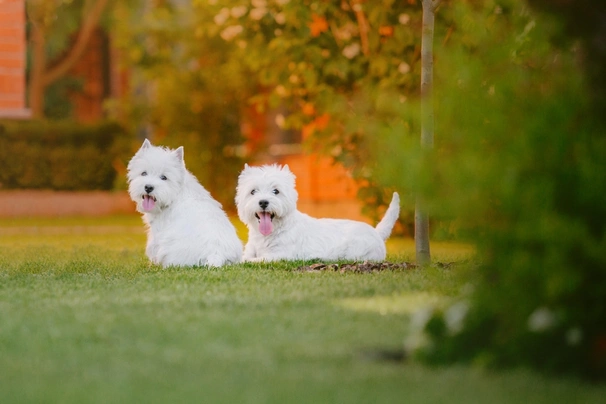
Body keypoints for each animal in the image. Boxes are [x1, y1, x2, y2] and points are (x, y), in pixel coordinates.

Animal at [127, 140, 242, 268]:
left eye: (164, 177)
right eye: (143, 173)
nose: (148, 187)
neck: (175, 195)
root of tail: (217, 254)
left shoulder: (158, 230)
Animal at [235, 164, 402, 262]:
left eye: (276, 191)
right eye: (253, 191)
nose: (263, 202)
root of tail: (376, 233)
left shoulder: (280, 255)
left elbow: (250, 260)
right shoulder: (251, 250)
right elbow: (245, 256)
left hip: (357, 250)